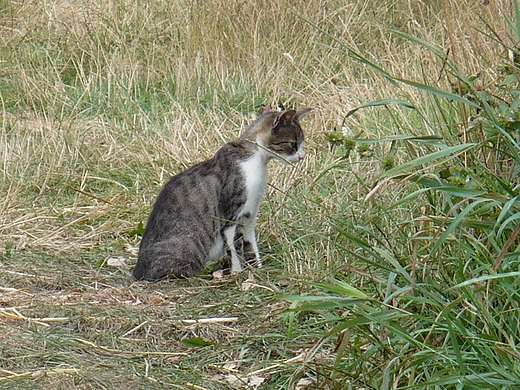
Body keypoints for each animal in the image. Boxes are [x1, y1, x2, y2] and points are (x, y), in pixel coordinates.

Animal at [132, 106, 310, 280]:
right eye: (293, 144)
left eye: (302, 143)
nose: (302, 156)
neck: (258, 160)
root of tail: (137, 272)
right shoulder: (231, 216)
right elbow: (234, 250)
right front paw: (238, 273)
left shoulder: (249, 215)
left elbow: (251, 245)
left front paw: (258, 269)